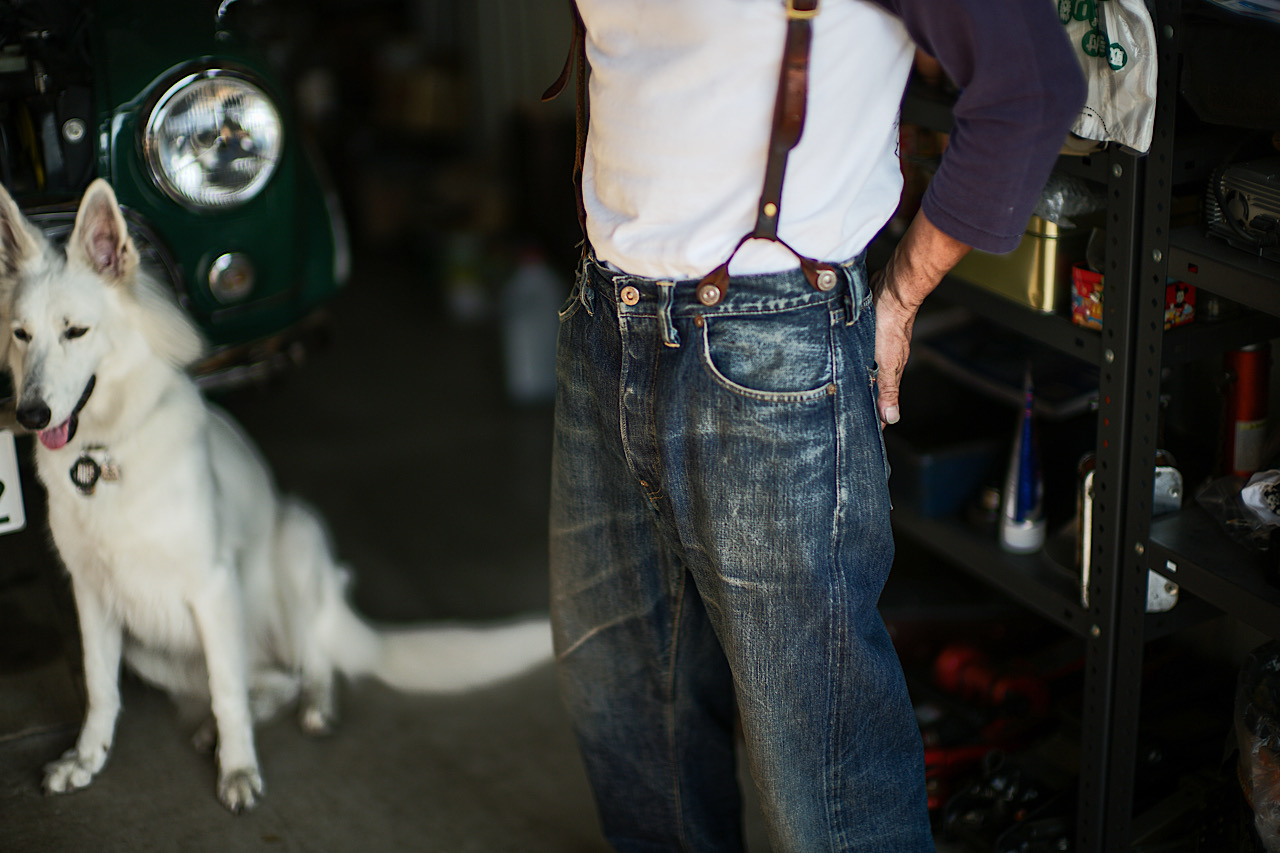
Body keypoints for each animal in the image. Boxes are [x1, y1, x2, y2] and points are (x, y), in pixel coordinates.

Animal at [0, 179, 554, 813]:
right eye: (21, 334)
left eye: (76, 331)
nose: (30, 414)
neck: (107, 453)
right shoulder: (91, 597)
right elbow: (100, 690)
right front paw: (88, 759)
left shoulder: (213, 586)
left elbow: (226, 691)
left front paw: (238, 767)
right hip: (151, 647)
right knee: (267, 679)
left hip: (297, 546)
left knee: (305, 664)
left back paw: (312, 708)